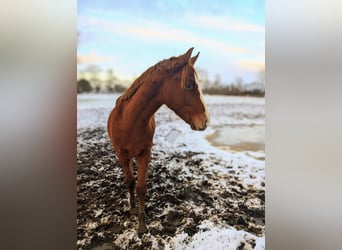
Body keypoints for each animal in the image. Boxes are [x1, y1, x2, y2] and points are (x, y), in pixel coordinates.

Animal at [107, 47, 208, 235]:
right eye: (189, 84)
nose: (205, 121)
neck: (129, 121)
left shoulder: (144, 153)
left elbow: (141, 187)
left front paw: (142, 223)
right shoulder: (121, 154)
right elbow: (130, 182)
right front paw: (133, 210)